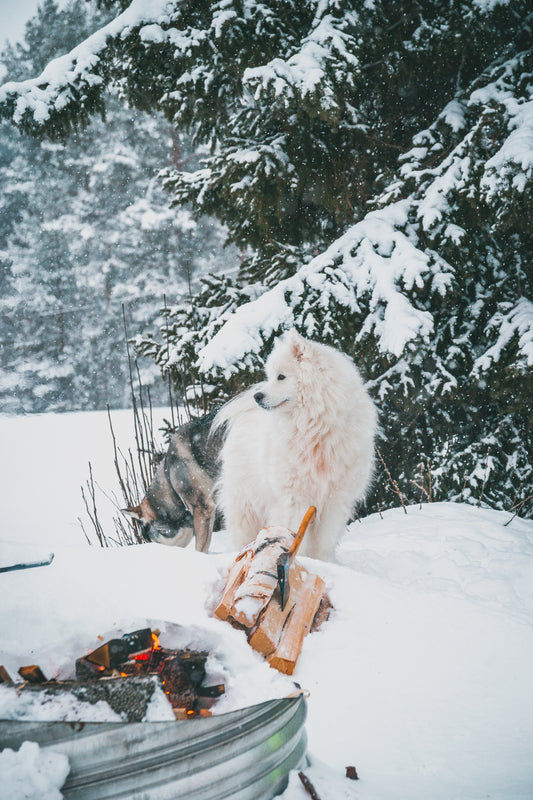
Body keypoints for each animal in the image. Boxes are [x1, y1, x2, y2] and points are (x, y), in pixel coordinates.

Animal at [212, 328, 378, 560]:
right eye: (270, 376)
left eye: (281, 377)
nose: (257, 396)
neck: (316, 427)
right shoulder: (295, 497)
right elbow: (298, 536)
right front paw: (300, 560)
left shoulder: (336, 499)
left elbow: (324, 541)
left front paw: (323, 562)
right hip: (245, 505)